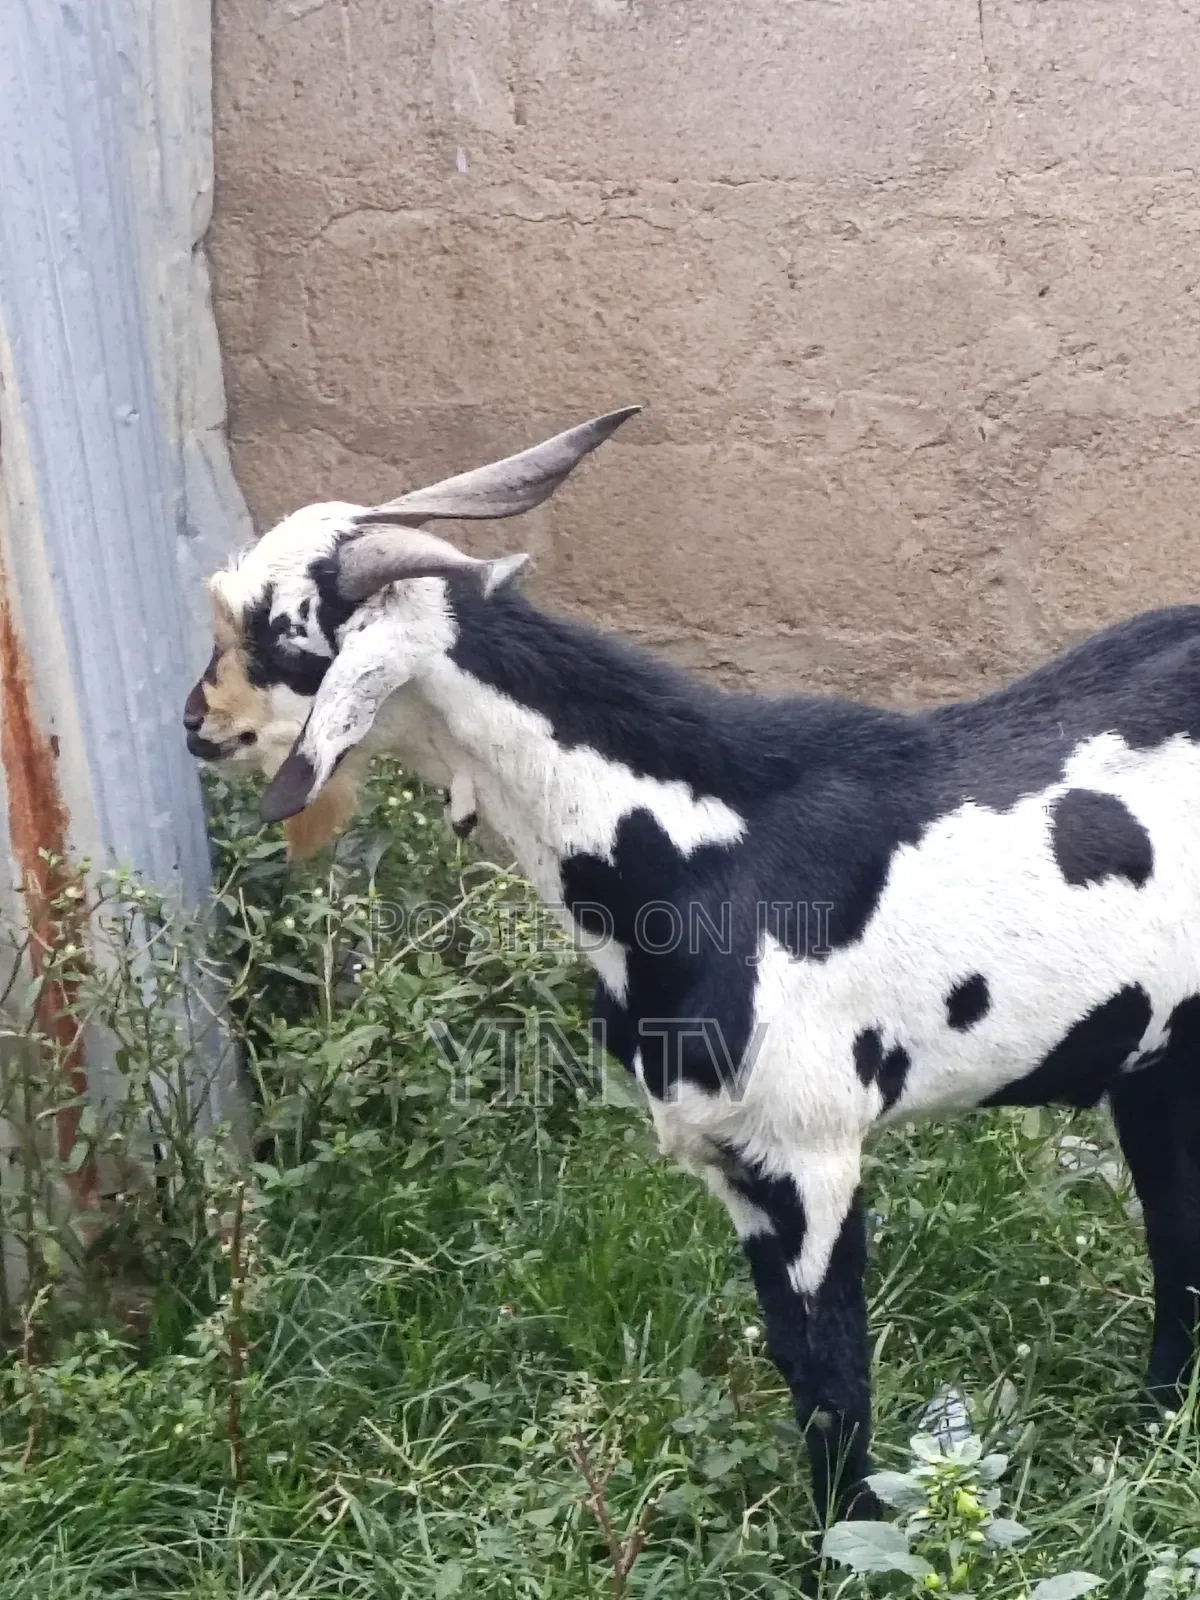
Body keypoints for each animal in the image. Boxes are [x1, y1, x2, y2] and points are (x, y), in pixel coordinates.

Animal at [185, 406, 1200, 1523]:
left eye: (285, 632)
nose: (199, 723)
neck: (710, 845)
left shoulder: (811, 1156)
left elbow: (833, 1377)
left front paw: (844, 1544)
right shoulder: (735, 1164)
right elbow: (801, 1366)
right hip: (1159, 1059)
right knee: (1177, 1229)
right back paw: (1154, 1424)